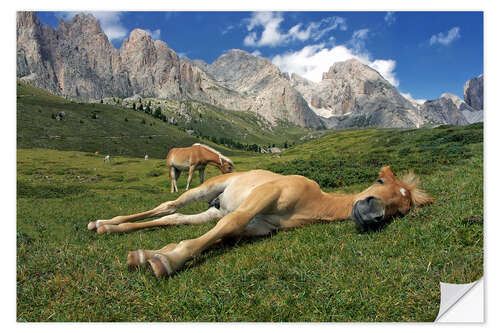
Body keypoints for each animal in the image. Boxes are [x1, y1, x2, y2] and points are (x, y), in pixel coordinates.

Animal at [90, 165, 434, 278]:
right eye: (379, 181)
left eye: (400, 209)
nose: (373, 214)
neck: (310, 202)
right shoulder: (265, 196)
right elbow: (225, 228)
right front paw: (166, 261)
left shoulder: (255, 228)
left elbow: (218, 236)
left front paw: (149, 256)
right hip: (207, 189)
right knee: (168, 205)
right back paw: (104, 223)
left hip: (213, 210)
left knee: (175, 218)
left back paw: (111, 228)